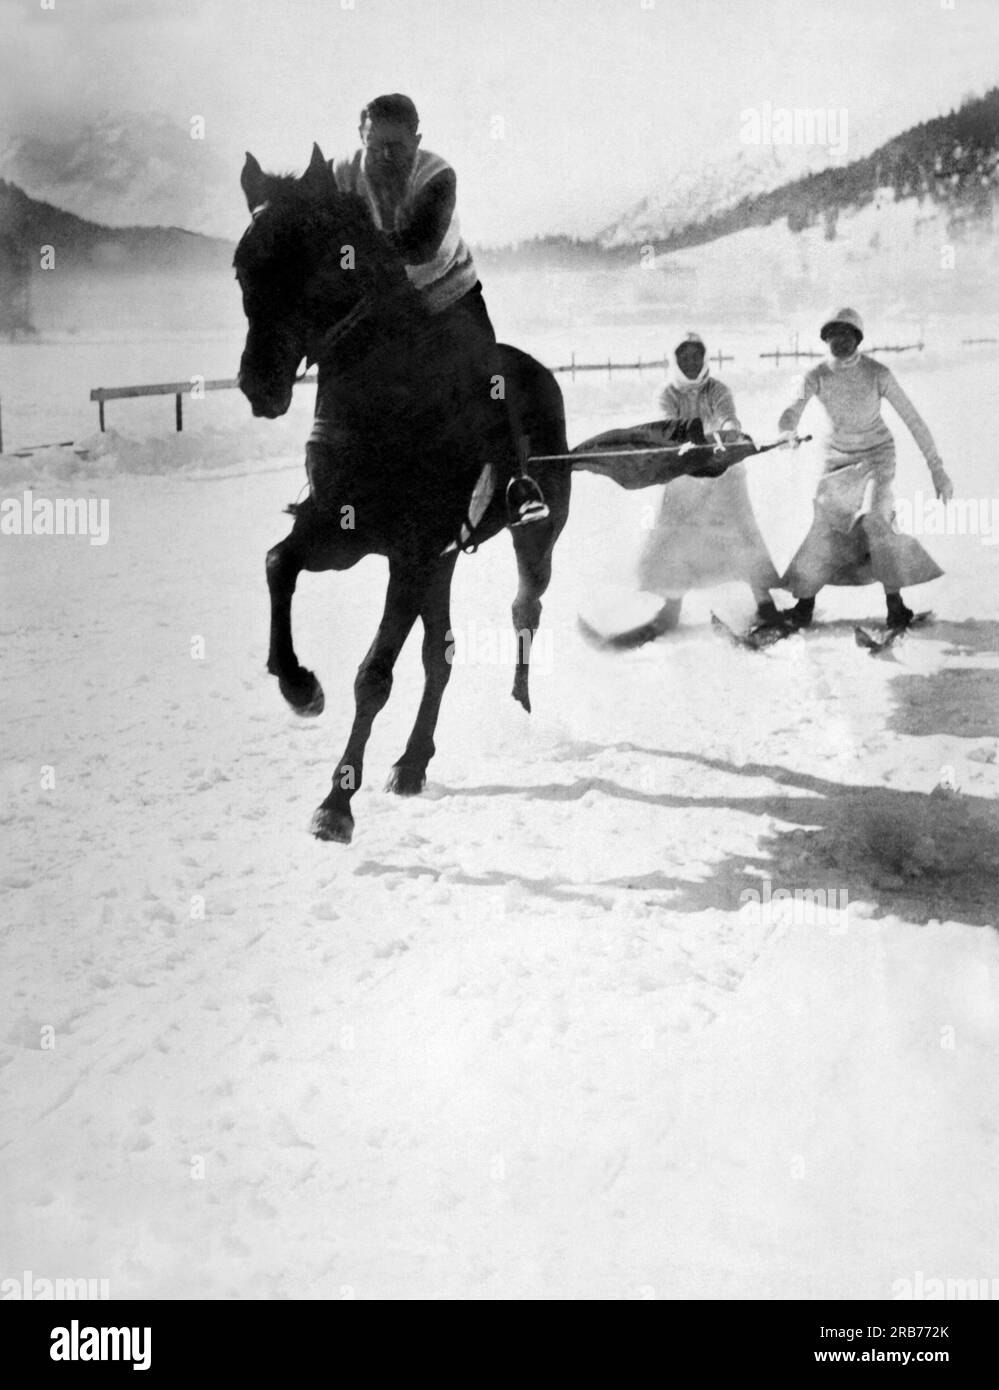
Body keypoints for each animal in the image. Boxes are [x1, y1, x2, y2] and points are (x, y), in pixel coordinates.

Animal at [234, 149, 575, 845]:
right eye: (243, 264)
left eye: (320, 257)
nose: (259, 383)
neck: (387, 402)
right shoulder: (346, 535)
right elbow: (278, 563)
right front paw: (299, 686)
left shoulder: (411, 553)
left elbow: (374, 675)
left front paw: (336, 804)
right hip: (441, 562)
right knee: (439, 654)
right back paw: (414, 762)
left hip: (532, 538)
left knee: (524, 608)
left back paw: (519, 699)